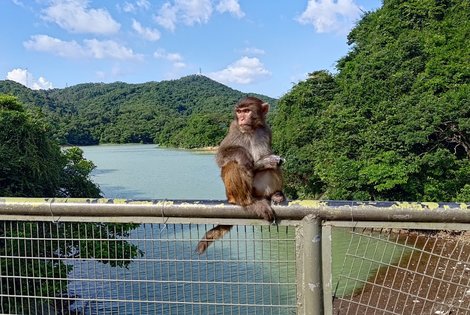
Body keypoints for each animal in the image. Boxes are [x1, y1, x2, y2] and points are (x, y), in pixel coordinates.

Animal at [196, 95, 284, 254]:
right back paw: (249, 203)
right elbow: (221, 156)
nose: (242, 118)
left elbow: (266, 161)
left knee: (274, 169)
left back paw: (275, 194)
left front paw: (269, 161)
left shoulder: (266, 130)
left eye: (247, 111)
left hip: (258, 190)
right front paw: (243, 156)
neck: (251, 130)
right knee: (233, 165)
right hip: (233, 193)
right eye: (239, 112)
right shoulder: (234, 128)